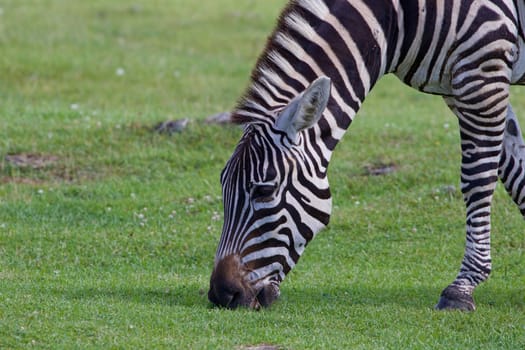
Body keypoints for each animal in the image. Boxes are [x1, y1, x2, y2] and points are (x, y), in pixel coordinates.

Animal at [207, 0, 524, 312]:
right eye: (222, 186)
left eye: (264, 191)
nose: (222, 294)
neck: (399, 19)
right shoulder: (459, 85)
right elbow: (515, 171)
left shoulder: (482, 72)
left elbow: (477, 181)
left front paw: (462, 288)